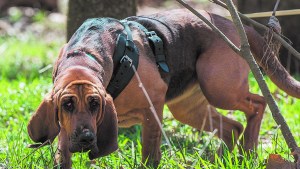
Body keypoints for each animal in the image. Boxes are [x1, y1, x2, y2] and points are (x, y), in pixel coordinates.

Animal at [27, 9, 300, 168]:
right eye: (67, 105)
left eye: (96, 105)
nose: (85, 139)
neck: (86, 54)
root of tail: (231, 24)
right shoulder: (65, 127)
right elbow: (62, 155)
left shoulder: (153, 107)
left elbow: (149, 152)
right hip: (188, 108)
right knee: (232, 127)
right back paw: (226, 158)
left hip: (219, 88)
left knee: (258, 104)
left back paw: (249, 151)